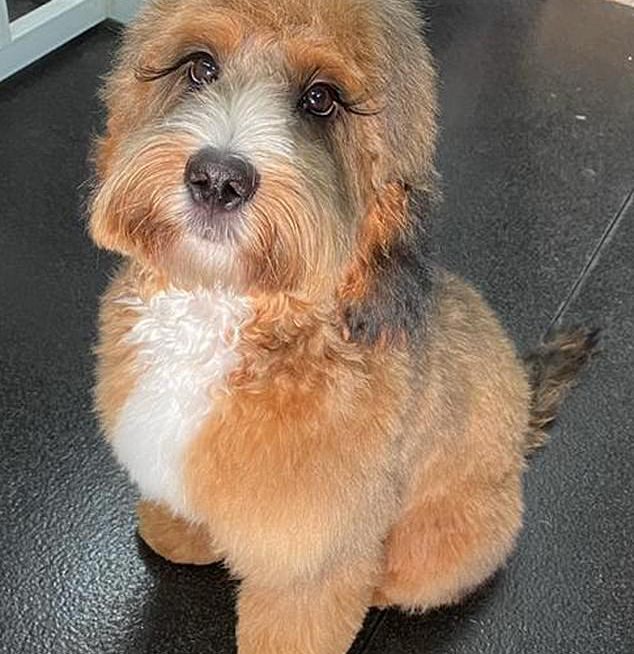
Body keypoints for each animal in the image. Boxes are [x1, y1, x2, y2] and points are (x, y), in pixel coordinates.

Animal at [87, 2, 592, 652]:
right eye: (199, 66)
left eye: (321, 99)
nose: (217, 180)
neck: (229, 310)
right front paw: (179, 534)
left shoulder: (313, 555)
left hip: (443, 541)